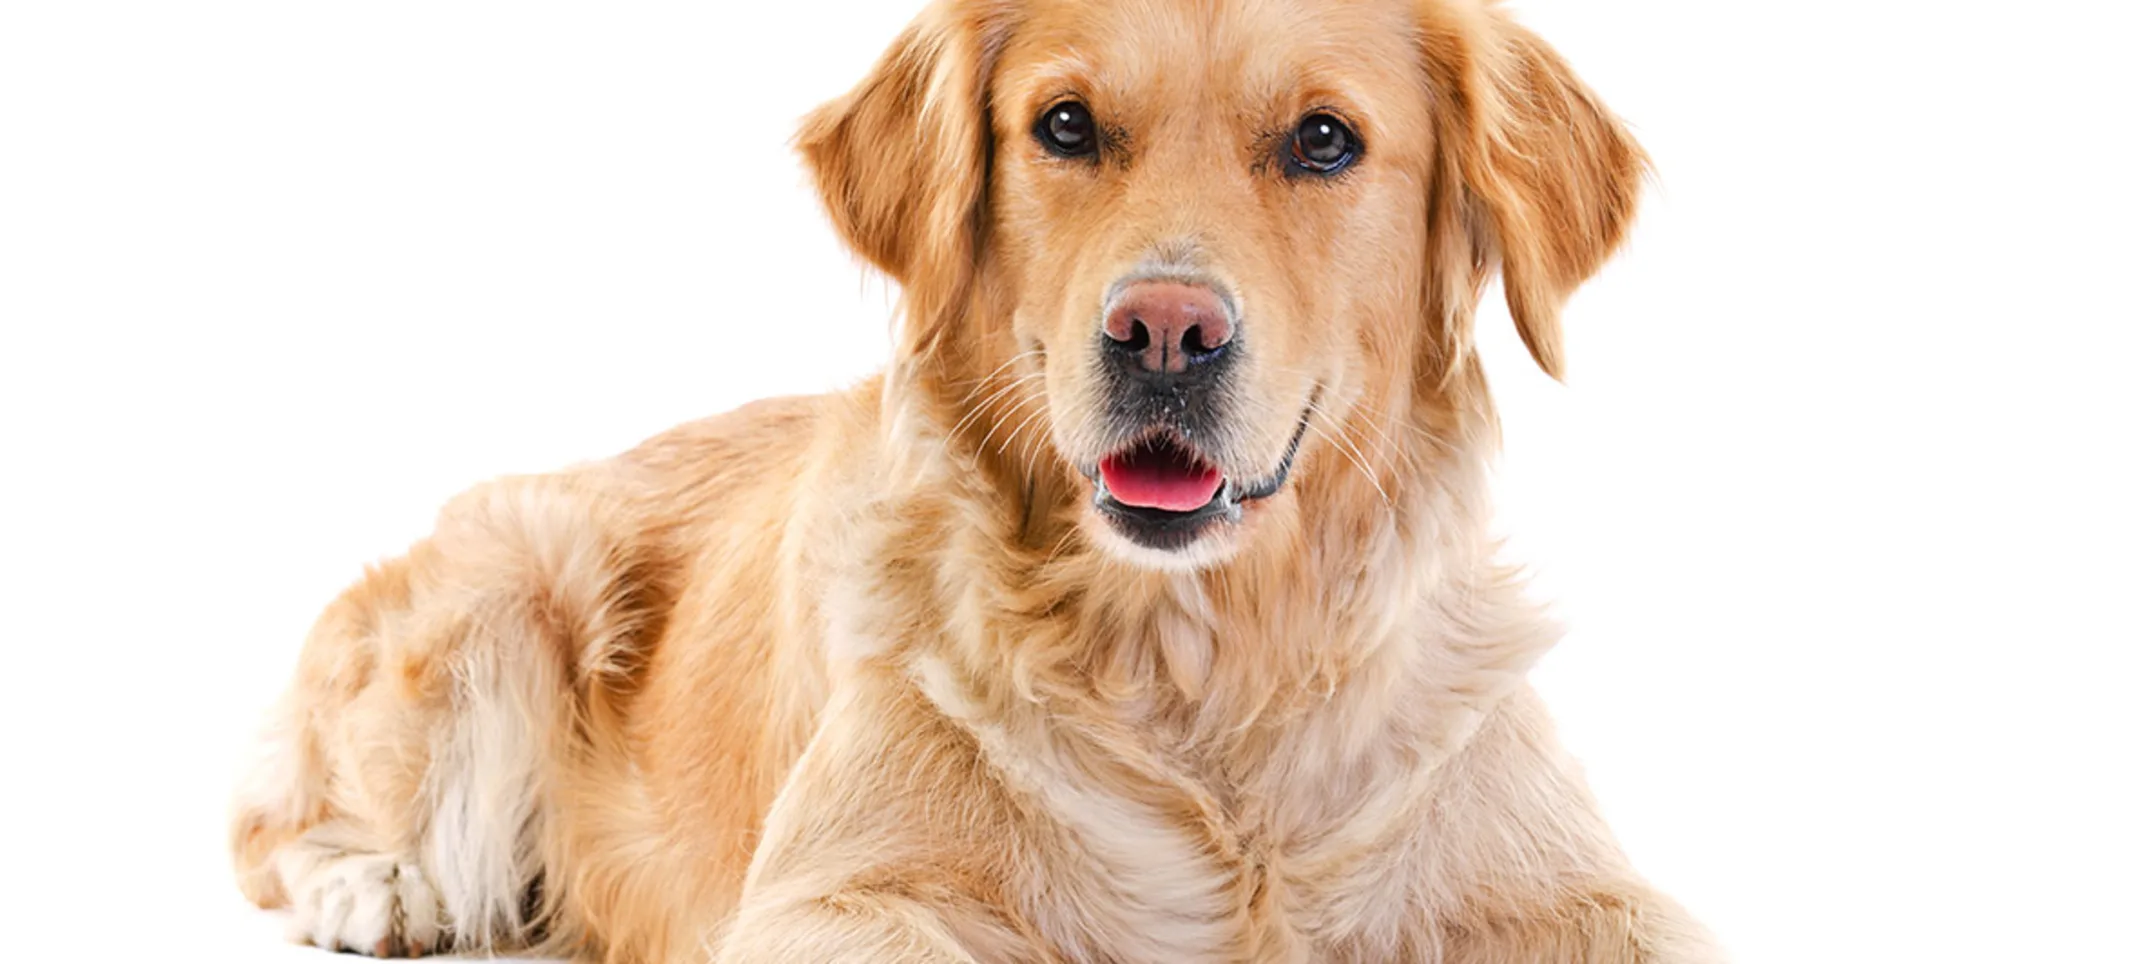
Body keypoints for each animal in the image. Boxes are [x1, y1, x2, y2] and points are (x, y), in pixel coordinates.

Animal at [230, 0, 1720, 959]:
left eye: (1324, 142)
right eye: (1065, 125)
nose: (1163, 334)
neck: (1203, 669)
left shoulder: (1571, 880)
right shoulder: (829, 892)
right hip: (507, 588)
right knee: (273, 822)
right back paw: (380, 888)